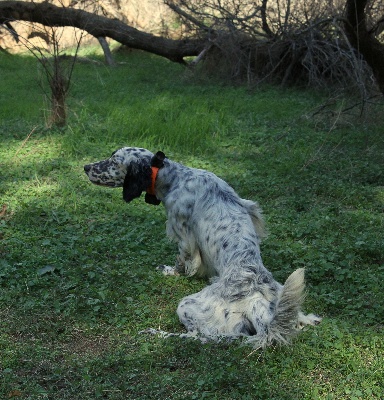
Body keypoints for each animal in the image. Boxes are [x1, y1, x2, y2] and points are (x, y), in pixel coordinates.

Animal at [84, 147, 320, 346]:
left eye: (114, 161)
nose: (86, 167)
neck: (176, 177)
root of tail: (258, 306)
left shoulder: (182, 232)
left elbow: (182, 261)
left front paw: (170, 271)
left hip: (188, 305)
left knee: (200, 337)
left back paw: (156, 334)